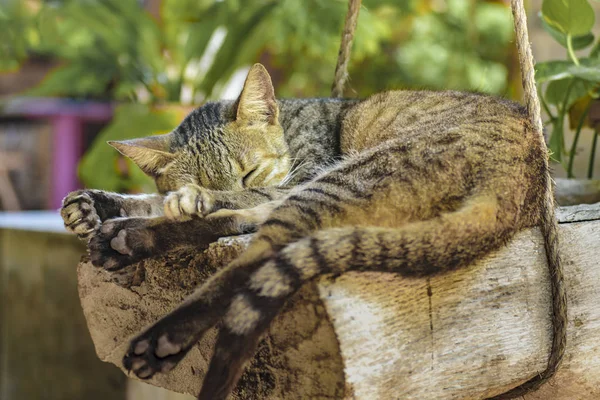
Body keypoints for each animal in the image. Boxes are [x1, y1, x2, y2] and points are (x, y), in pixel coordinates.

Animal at [61, 64, 556, 398]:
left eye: (249, 170)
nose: (202, 191)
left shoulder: (297, 174)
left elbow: (220, 202)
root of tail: (518, 179)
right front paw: (93, 205)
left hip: (342, 179)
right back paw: (122, 236)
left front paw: (182, 201)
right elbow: (162, 199)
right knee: (251, 229)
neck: (290, 126)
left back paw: (163, 332)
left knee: (256, 252)